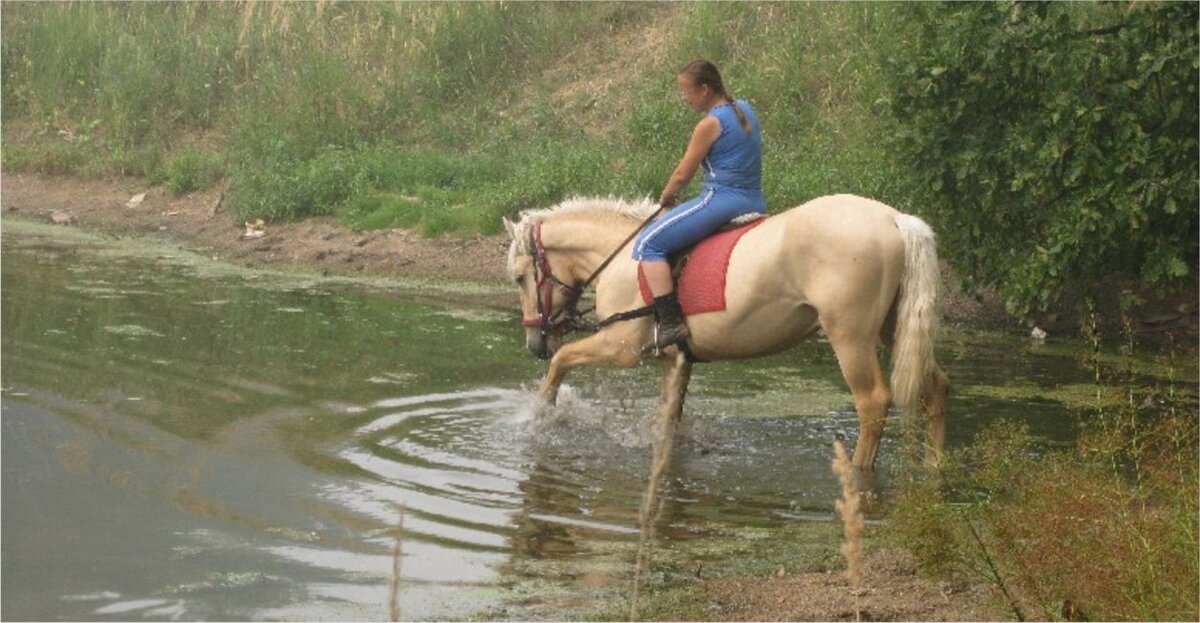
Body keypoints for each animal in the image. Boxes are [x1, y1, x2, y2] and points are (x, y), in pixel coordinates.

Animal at [501, 192, 950, 470]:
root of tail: (894, 218)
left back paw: (858, 474)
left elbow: (562, 360)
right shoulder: (675, 361)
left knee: (872, 402)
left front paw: (543, 414)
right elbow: (667, 419)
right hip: (893, 327)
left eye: (520, 277)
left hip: (850, 337)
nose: (535, 342)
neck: (625, 255)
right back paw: (934, 467)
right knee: (935, 387)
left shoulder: (621, 347)